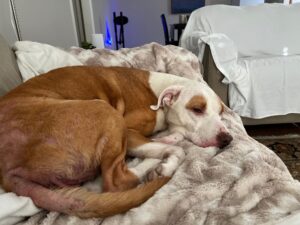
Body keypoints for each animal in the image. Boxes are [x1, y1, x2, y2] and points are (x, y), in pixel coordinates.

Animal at [0, 66, 232, 218]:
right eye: (197, 109)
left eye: (221, 113)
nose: (228, 139)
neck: (161, 91)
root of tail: (7, 171)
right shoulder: (129, 130)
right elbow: (176, 146)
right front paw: (166, 153)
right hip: (105, 111)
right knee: (117, 181)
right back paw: (157, 165)